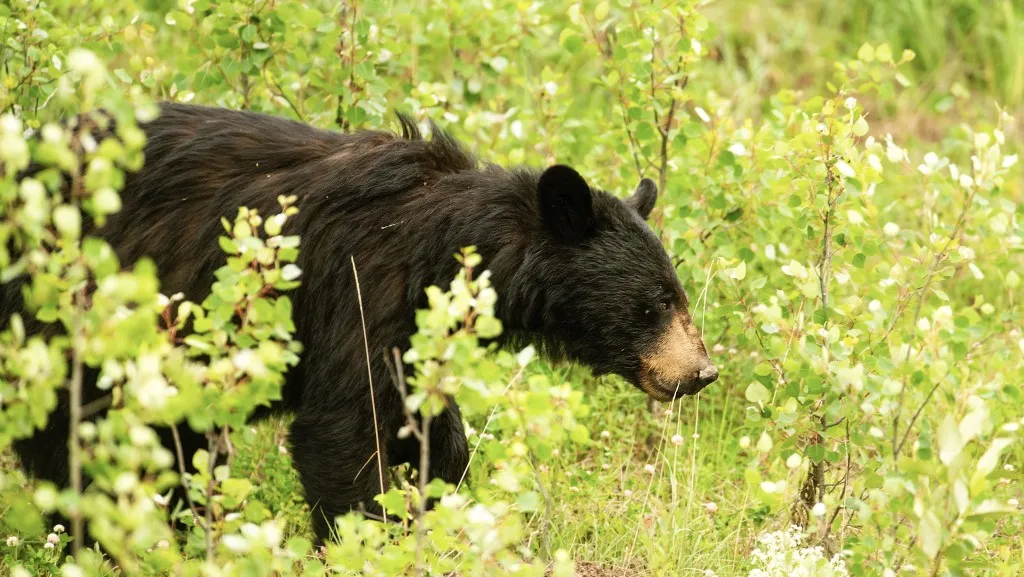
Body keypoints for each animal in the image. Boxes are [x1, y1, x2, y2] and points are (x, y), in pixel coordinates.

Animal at [4, 105, 716, 545]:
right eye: (655, 302)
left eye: (677, 295)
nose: (701, 372)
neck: (448, 247)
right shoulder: (361, 288)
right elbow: (341, 431)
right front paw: (372, 538)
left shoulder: (416, 326)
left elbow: (428, 422)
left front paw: (438, 491)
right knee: (77, 431)